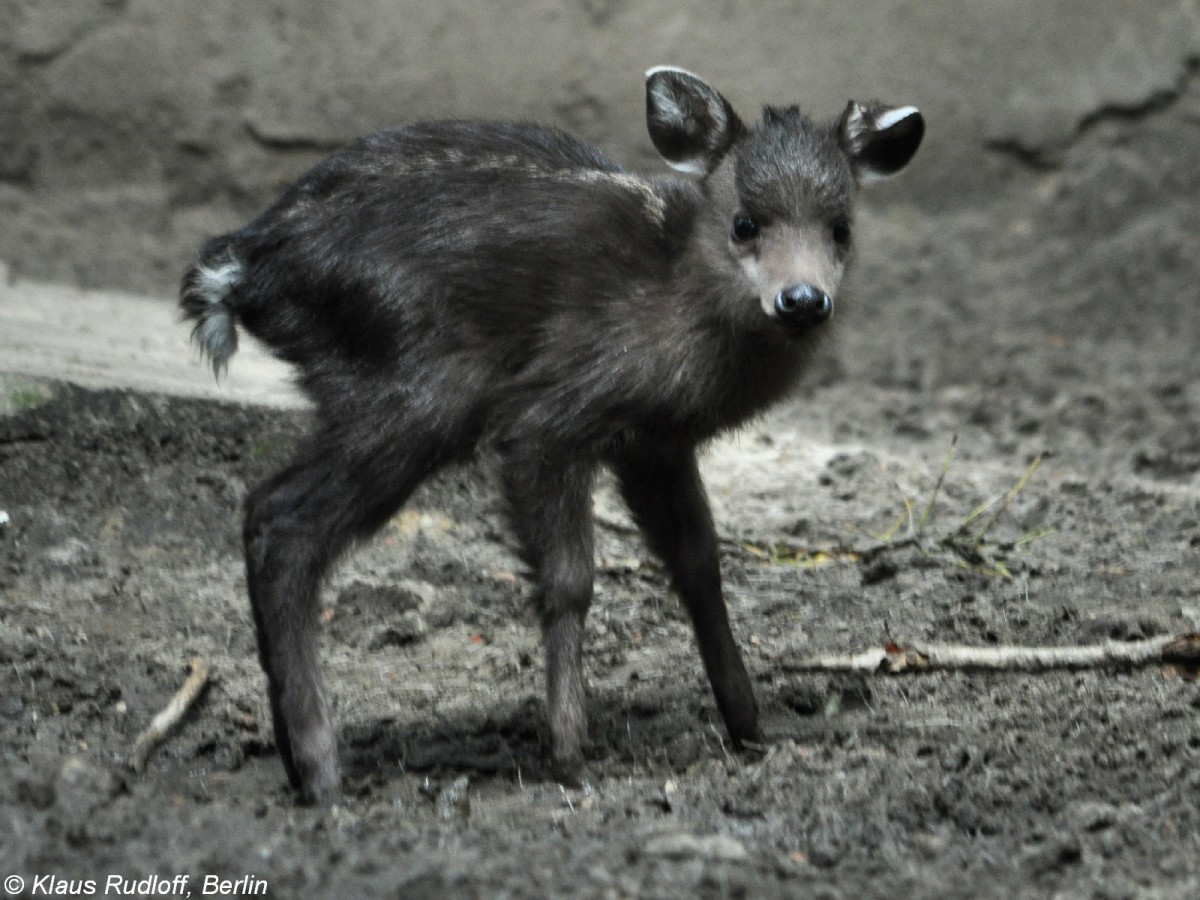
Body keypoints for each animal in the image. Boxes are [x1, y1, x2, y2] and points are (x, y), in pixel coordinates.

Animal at [180, 66, 926, 806]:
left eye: (841, 229)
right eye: (745, 223)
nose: (801, 300)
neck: (671, 298)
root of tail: (242, 267)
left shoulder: (654, 442)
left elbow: (698, 565)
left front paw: (751, 728)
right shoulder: (551, 414)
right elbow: (570, 580)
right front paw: (569, 753)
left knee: (266, 512)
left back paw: (296, 758)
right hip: (414, 388)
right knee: (283, 521)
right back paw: (322, 773)